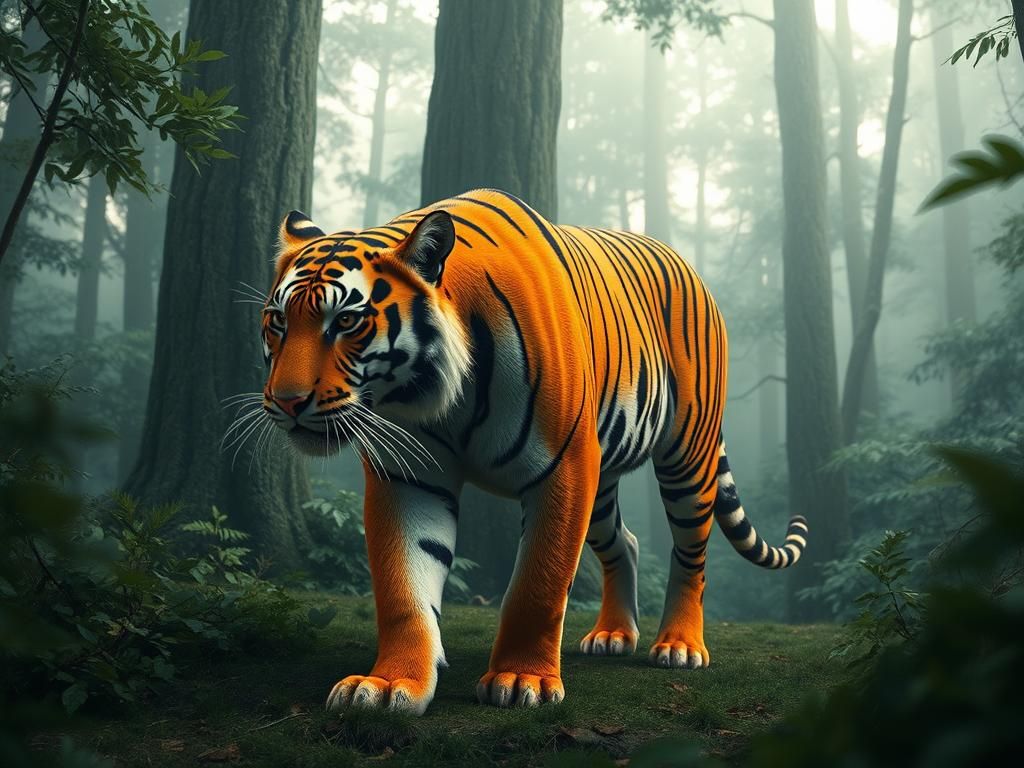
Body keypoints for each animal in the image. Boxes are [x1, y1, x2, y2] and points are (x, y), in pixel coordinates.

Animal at [257, 188, 808, 715]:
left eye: (347, 321)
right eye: (277, 322)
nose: (286, 401)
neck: (439, 395)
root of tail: (689, 266)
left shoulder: (564, 468)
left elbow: (537, 585)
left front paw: (522, 679)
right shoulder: (408, 478)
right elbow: (403, 587)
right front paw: (390, 683)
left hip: (687, 454)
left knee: (692, 552)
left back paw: (679, 645)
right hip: (602, 480)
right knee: (624, 542)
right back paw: (613, 635)